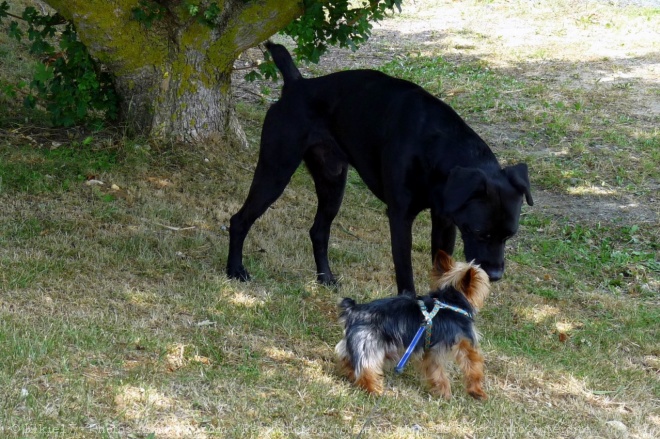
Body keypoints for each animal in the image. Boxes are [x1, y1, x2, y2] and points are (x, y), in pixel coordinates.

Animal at [227, 43, 532, 294]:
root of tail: (297, 85)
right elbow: (406, 277)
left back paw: (325, 278)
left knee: (318, 231)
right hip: (275, 172)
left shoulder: (446, 222)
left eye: (510, 235)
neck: (435, 145)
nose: (495, 275)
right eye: (481, 233)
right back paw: (235, 270)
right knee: (239, 220)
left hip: (332, 184)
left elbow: (440, 272)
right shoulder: (400, 217)